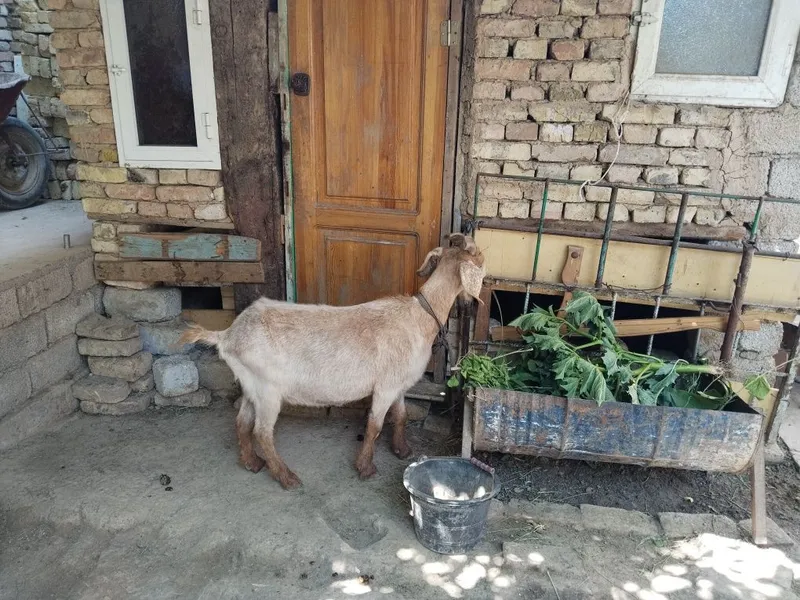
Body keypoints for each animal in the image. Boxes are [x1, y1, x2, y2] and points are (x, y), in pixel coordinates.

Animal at [180, 233, 485, 489]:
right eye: (479, 256)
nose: (471, 303)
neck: (420, 316)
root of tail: (227, 336)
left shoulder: (397, 384)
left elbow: (400, 416)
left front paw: (402, 451)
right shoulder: (385, 387)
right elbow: (374, 426)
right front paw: (365, 468)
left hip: (250, 385)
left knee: (242, 423)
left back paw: (252, 463)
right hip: (268, 389)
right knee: (262, 432)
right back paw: (286, 477)